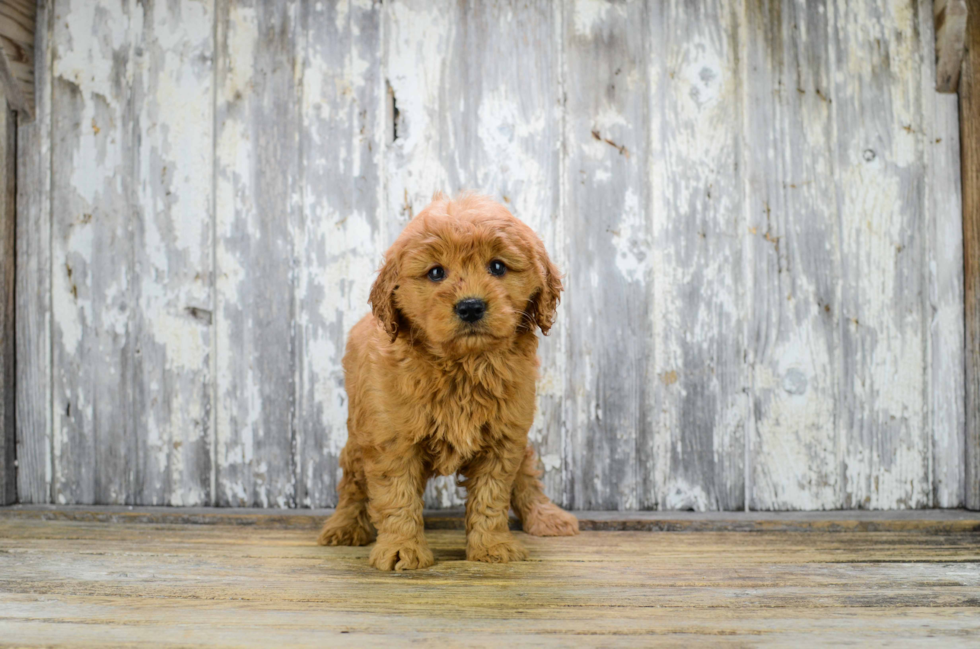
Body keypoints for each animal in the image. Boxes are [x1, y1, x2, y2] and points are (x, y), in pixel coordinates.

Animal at [318, 191, 580, 568]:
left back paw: (546, 517)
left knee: (527, 474)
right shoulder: (389, 440)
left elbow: (492, 494)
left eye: (497, 267)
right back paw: (345, 526)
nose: (470, 307)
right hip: (358, 433)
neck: (463, 366)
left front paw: (492, 545)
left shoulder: (504, 437)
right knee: (352, 483)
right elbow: (396, 496)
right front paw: (401, 547)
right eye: (436, 272)